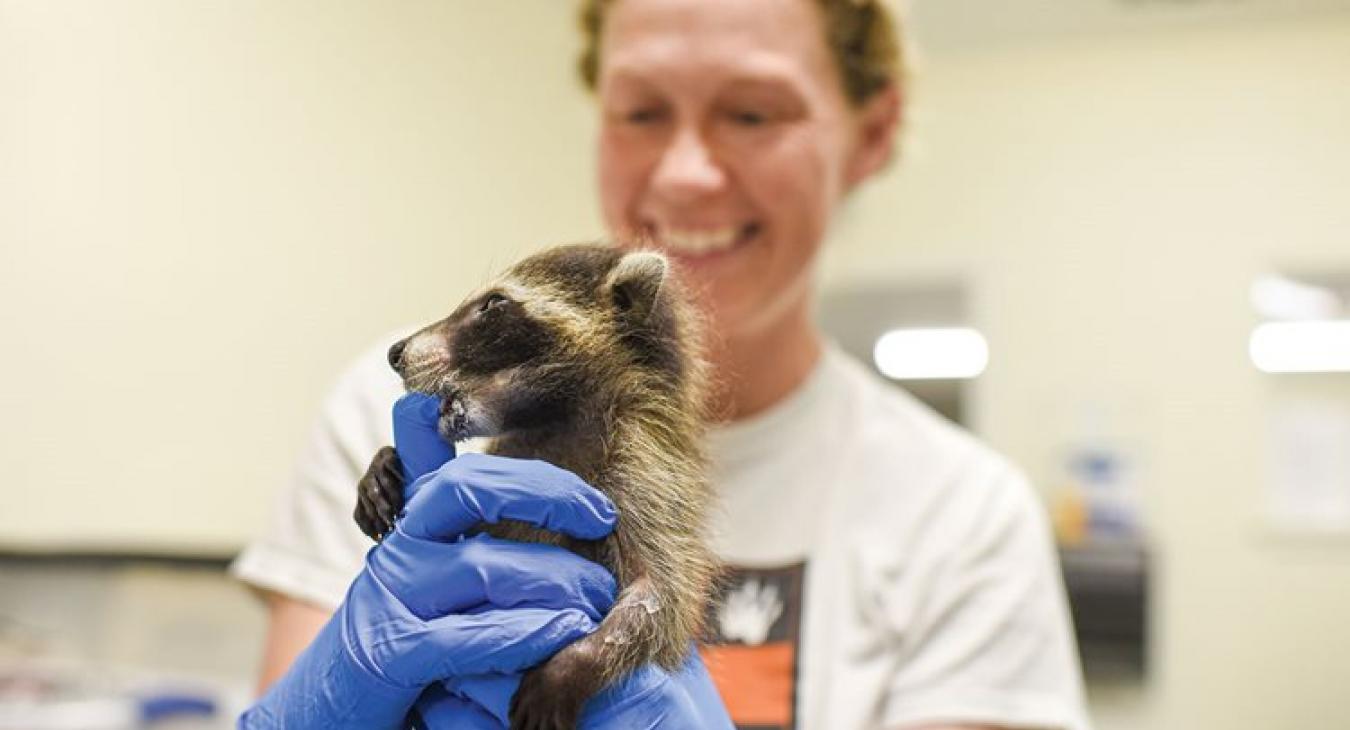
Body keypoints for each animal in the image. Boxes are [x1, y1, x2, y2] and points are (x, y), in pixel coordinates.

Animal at [356, 242, 718, 728]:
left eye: (493, 304)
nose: (395, 352)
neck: (552, 423)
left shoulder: (647, 469)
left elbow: (660, 596)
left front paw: (576, 662)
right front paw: (381, 465)